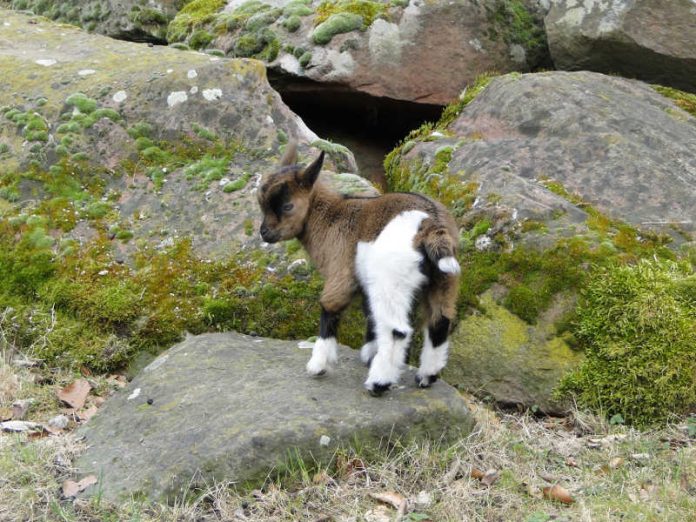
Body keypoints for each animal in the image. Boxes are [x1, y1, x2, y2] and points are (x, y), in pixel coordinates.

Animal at [258, 142, 460, 394]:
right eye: (261, 204)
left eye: (287, 206)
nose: (264, 233)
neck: (330, 218)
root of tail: (431, 225)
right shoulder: (365, 283)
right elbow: (370, 314)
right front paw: (370, 354)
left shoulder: (341, 272)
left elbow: (330, 308)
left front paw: (318, 365)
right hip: (444, 279)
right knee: (439, 321)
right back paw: (426, 376)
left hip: (390, 281)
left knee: (397, 330)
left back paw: (379, 383)